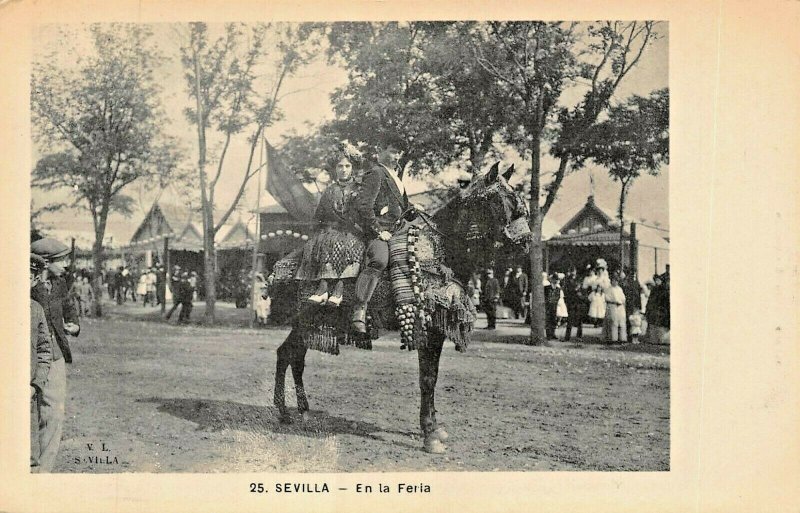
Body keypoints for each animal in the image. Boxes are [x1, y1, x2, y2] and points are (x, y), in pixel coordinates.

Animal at [272, 163, 528, 452]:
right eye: (501, 199)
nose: (526, 240)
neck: (438, 253)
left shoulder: (436, 332)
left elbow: (433, 376)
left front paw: (435, 427)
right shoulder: (429, 331)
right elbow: (427, 379)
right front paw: (429, 434)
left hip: (306, 325)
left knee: (293, 357)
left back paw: (301, 411)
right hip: (303, 322)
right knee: (287, 355)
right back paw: (285, 411)